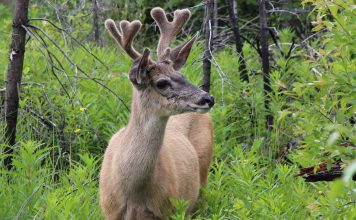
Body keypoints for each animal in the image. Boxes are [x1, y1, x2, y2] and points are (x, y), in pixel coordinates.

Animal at [99, 6, 214, 220]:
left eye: (181, 75)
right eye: (161, 83)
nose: (208, 98)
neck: (134, 194)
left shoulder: (168, 211)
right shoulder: (110, 211)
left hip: (203, 177)